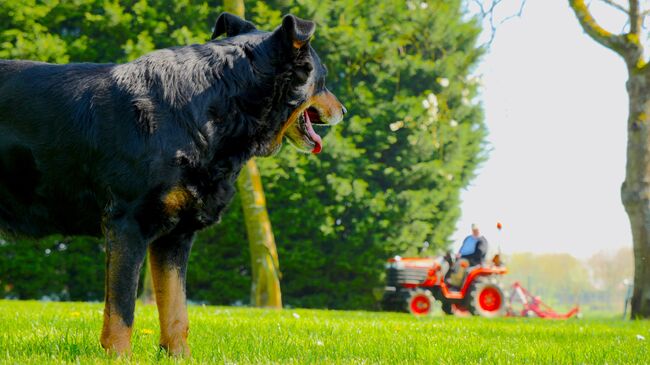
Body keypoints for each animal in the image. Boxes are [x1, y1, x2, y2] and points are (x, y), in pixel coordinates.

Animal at [0, 12, 344, 354]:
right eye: (323, 78)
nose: (344, 109)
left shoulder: (175, 236)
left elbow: (176, 309)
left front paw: (178, 355)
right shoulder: (128, 223)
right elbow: (122, 310)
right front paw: (119, 356)